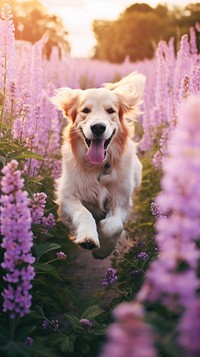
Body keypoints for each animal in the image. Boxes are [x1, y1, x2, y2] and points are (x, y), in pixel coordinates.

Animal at [51, 71, 145, 258]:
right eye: (85, 110)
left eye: (111, 111)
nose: (98, 127)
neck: (98, 167)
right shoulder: (67, 196)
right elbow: (84, 213)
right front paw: (88, 237)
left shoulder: (121, 200)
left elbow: (113, 226)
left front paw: (102, 250)